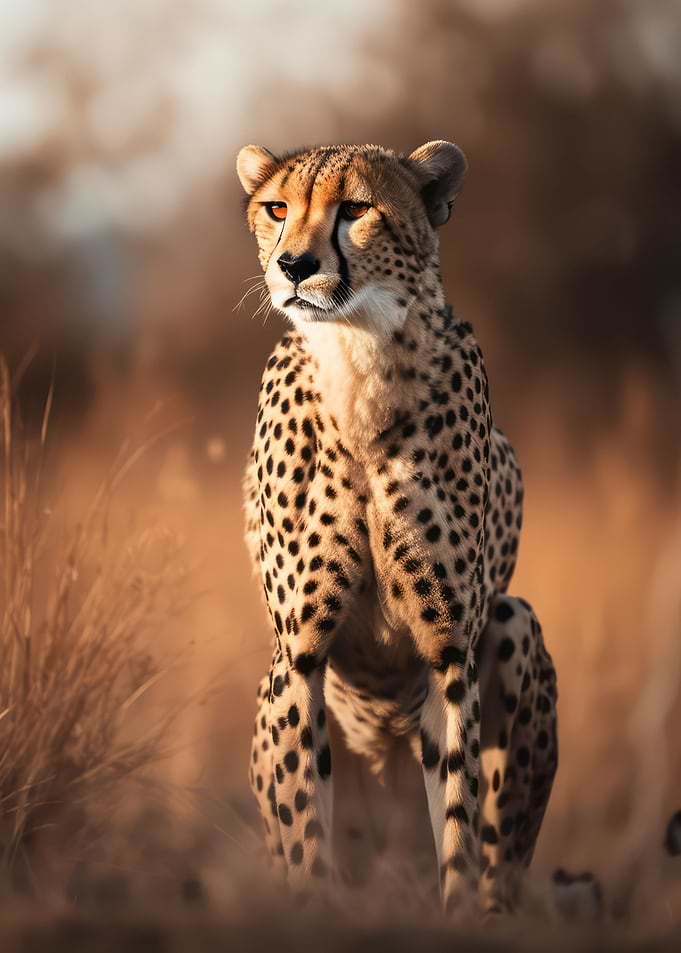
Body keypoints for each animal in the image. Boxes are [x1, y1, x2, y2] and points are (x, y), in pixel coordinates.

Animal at [237, 139, 558, 918]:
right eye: (277, 208)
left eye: (355, 208)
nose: (293, 266)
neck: (358, 354)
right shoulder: (299, 654)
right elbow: (305, 828)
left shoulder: (449, 651)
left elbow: (460, 824)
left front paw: (456, 918)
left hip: (513, 622)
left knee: (498, 865)